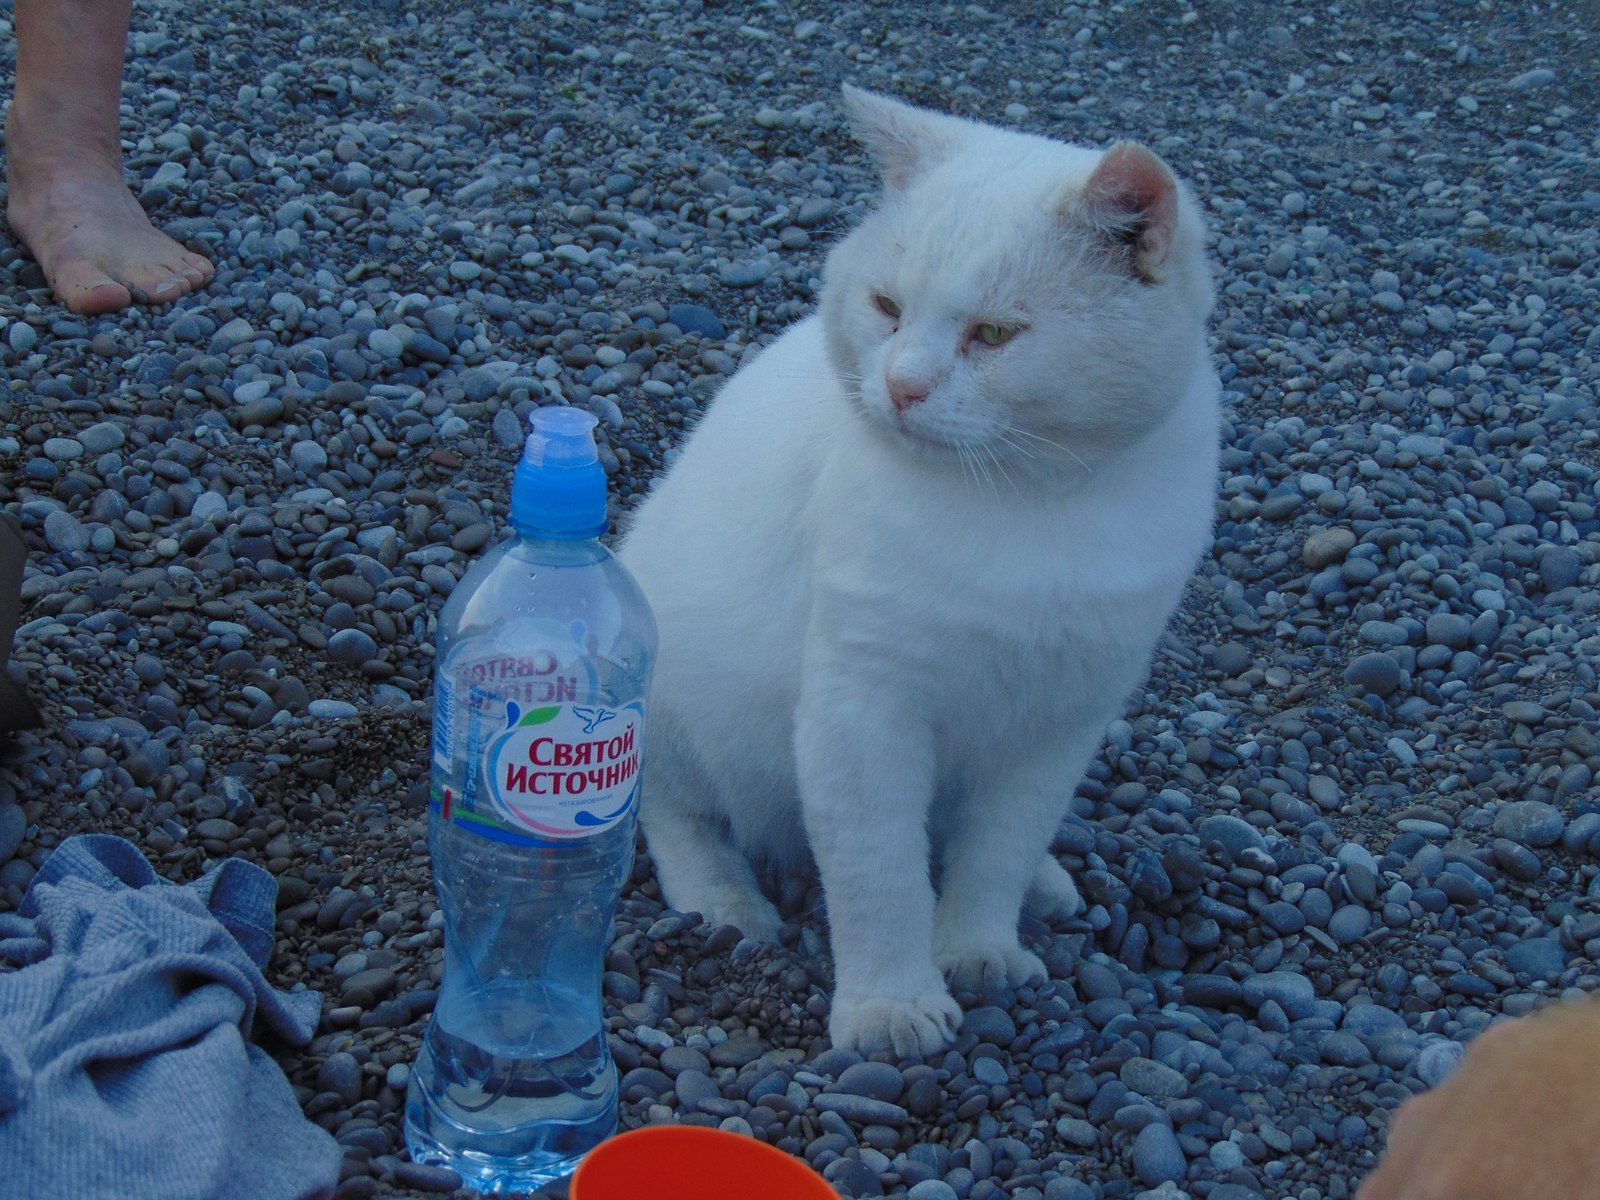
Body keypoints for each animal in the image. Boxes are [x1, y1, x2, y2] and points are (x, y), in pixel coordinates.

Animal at [617, 89, 1216, 1056]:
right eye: (886, 307)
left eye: (997, 334)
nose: (900, 387)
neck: (1027, 506)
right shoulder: (863, 711)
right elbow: (879, 873)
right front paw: (889, 1004)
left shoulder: (1064, 717)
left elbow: (998, 849)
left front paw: (980, 947)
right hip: (672, 693)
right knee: (678, 816)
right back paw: (726, 906)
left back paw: (1045, 887)